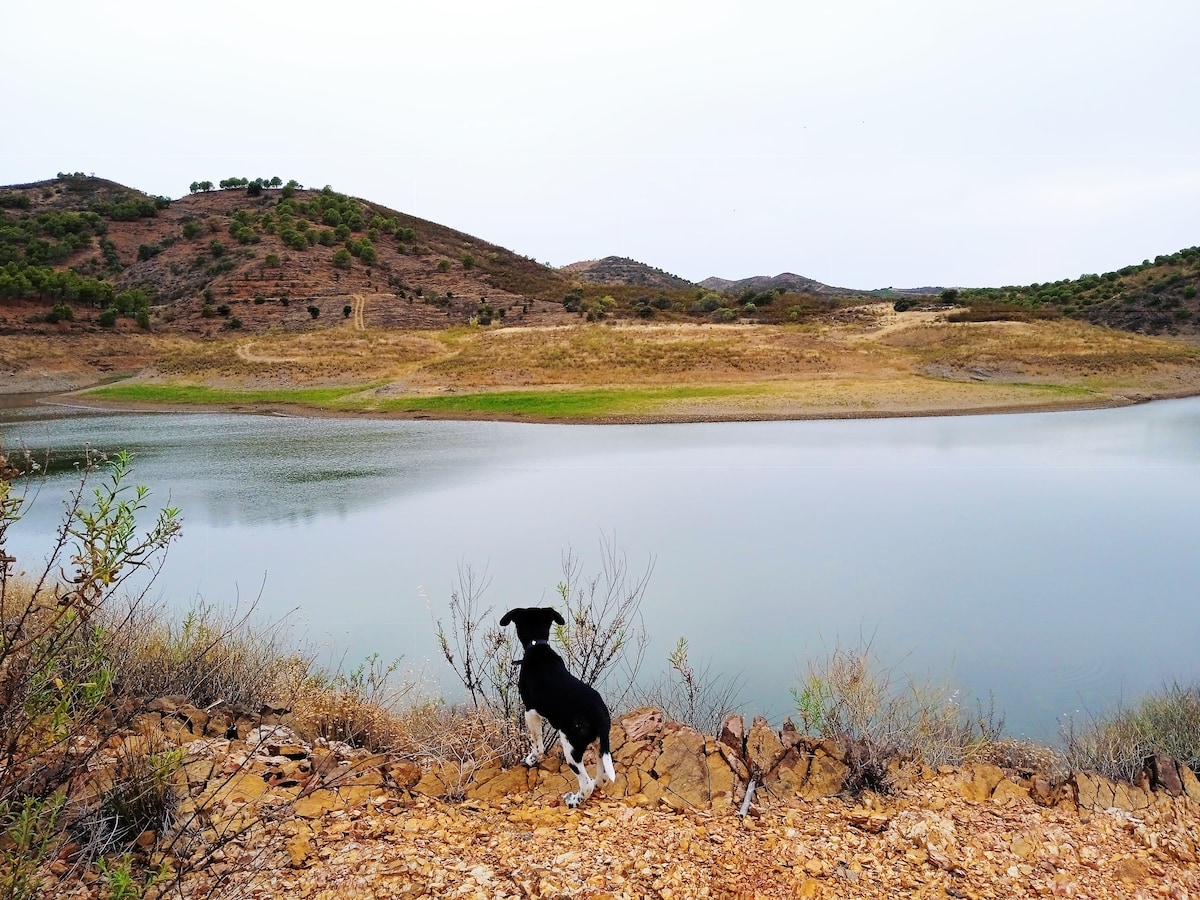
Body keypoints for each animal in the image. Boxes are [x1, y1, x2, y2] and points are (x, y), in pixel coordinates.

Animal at [499, 607, 619, 811]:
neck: (538, 647)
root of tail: (600, 716)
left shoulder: (531, 711)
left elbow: (537, 744)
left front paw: (531, 759)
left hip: (571, 749)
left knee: (586, 783)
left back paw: (574, 801)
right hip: (599, 745)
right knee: (601, 776)